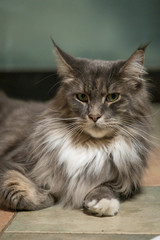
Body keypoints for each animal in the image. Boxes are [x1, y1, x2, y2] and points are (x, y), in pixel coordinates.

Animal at [0, 40, 151, 217]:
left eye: (113, 97)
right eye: (82, 97)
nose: (94, 116)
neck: (91, 145)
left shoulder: (124, 178)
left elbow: (105, 186)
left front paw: (102, 203)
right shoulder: (11, 160)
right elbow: (14, 185)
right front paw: (45, 196)